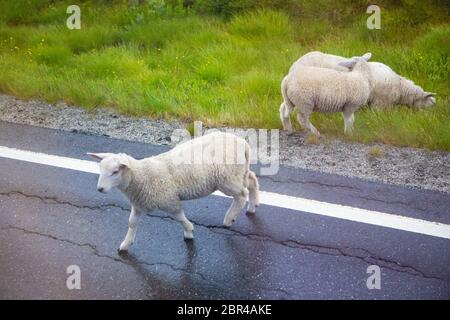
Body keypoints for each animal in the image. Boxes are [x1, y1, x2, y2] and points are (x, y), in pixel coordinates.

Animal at [87, 132, 260, 252]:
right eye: (100, 168)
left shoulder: (169, 200)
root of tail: (243, 144)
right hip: (239, 172)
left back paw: (229, 218)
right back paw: (253, 206)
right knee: (252, 180)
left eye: (115, 171)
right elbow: (131, 222)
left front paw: (189, 231)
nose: (100, 189)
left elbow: (179, 217)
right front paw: (125, 244)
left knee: (241, 194)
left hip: (227, 178)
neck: (141, 176)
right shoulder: (138, 204)